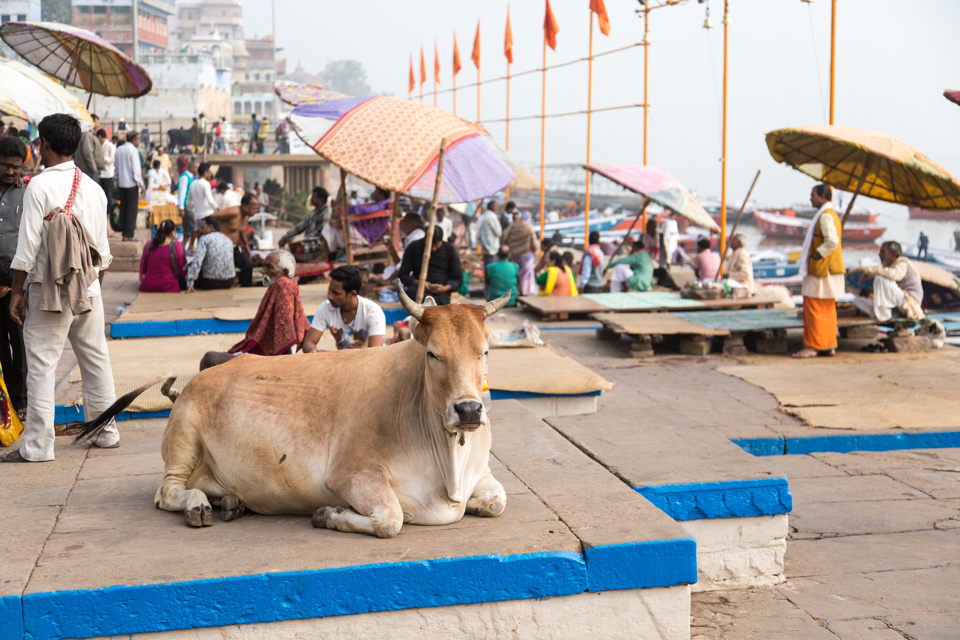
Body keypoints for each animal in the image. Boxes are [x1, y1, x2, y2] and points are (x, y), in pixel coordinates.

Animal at [151, 284, 511, 537]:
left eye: (485, 352)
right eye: (433, 354)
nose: (468, 410)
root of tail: (194, 382)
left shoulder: (482, 472)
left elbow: (497, 501)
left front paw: (476, 503)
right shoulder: (350, 475)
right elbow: (391, 519)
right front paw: (328, 514)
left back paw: (229, 501)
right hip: (183, 435)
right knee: (166, 492)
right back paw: (198, 505)